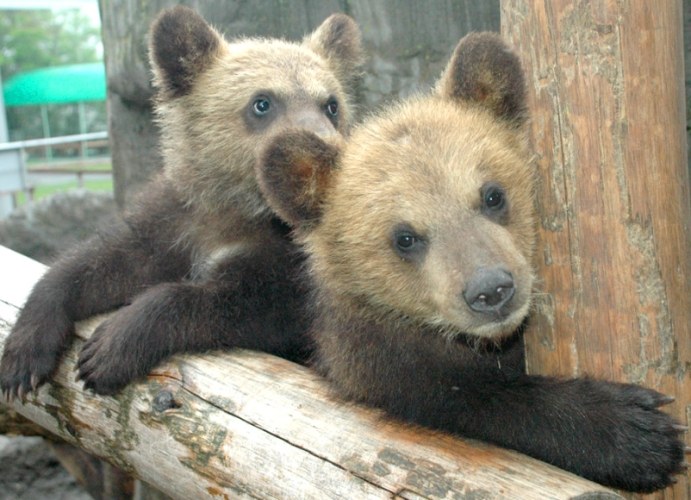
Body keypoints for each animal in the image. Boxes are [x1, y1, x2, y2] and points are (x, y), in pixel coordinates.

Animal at [0, 5, 362, 397]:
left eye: (331, 105)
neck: (238, 208)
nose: (326, 151)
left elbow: (240, 305)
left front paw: (108, 348)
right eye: (262, 102)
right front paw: (21, 361)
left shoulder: (291, 269)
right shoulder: (174, 222)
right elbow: (96, 265)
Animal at [256, 32, 686, 493]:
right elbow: (465, 397)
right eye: (404, 237)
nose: (492, 289)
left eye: (492, 194)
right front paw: (636, 434)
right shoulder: (378, 361)